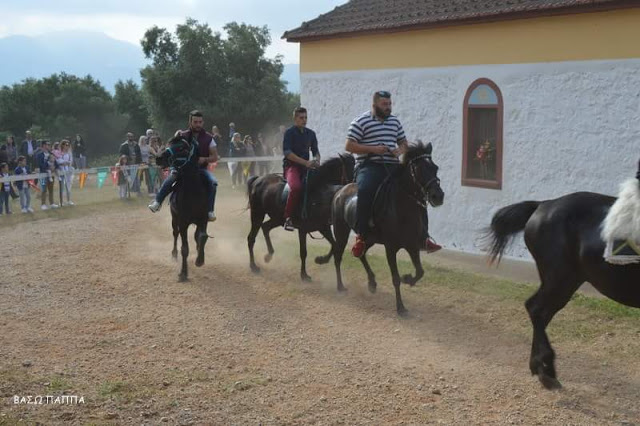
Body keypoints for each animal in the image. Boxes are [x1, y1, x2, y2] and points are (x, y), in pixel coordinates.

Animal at [156, 137, 209, 282]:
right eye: (168, 144)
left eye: (181, 148)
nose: (159, 157)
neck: (193, 192)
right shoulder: (183, 222)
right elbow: (184, 248)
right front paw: (183, 273)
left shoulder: (203, 219)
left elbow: (202, 236)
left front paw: (200, 259)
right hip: (174, 219)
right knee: (175, 233)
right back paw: (174, 254)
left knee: (196, 236)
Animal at [330, 145, 444, 314]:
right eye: (419, 169)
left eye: (435, 168)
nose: (438, 196)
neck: (401, 209)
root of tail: (341, 190)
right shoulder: (390, 248)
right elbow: (395, 278)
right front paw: (401, 308)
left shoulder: (412, 245)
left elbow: (420, 271)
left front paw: (408, 279)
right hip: (341, 231)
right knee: (338, 256)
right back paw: (340, 287)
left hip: (369, 238)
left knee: (361, 253)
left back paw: (372, 283)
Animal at [484, 193, 640, 390]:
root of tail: (542, 205)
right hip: (559, 278)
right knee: (536, 309)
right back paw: (546, 371)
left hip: (567, 281)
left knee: (542, 314)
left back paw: (539, 368)